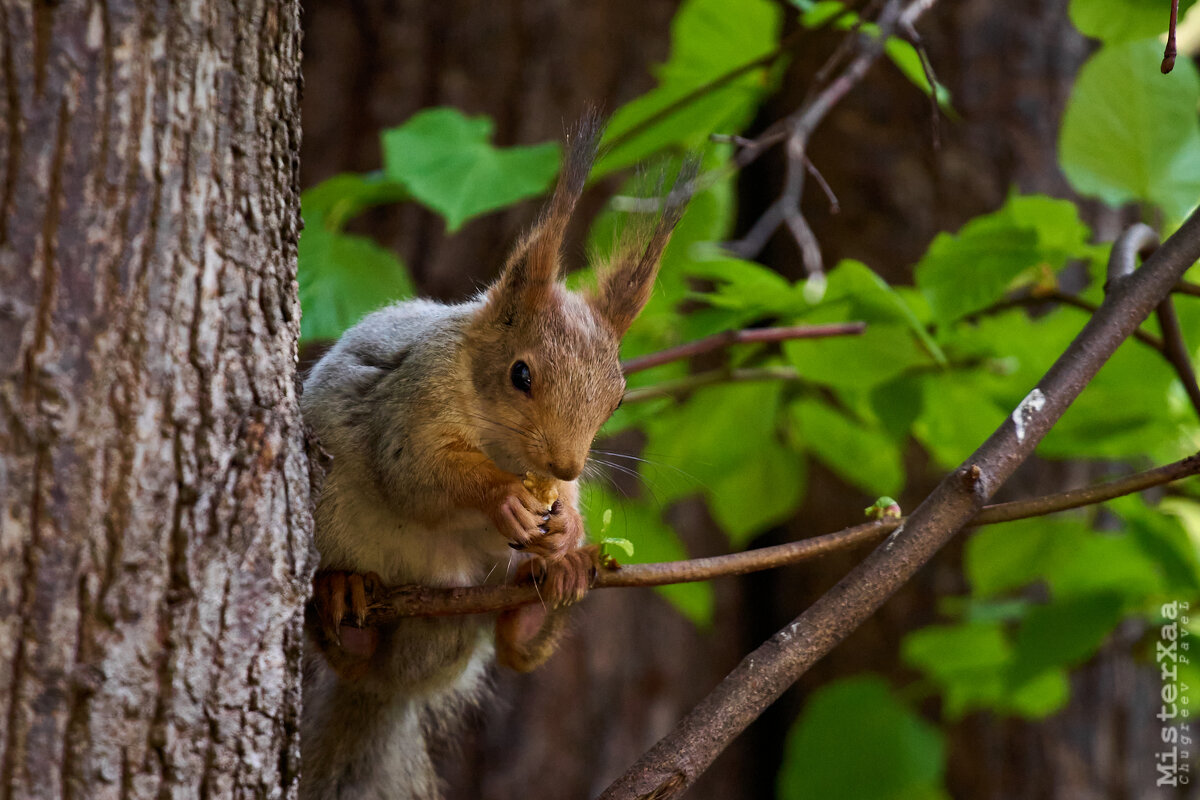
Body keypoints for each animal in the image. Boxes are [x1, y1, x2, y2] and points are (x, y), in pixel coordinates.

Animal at [296, 113, 691, 800]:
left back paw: (548, 590)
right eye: (521, 375)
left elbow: (564, 506)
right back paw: (344, 595)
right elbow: (418, 476)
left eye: (618, 397)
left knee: (509, 646)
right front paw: (502, 498)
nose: (565, 467)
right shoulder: (408, 408)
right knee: (353, 647)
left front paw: (568, 528)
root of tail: (392, 685)